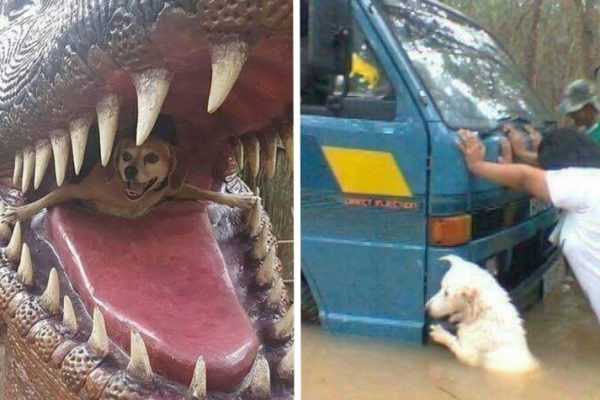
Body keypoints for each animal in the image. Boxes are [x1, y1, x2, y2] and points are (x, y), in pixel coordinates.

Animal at [0, 115, 258, 222]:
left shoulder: (170, 188)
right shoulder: (74, 188)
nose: (130, 171)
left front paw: (240, 200)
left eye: (152, 158)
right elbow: (47, 198)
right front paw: (19, 212)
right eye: (125, 156)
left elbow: (202, 191)